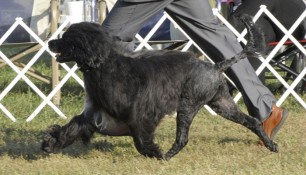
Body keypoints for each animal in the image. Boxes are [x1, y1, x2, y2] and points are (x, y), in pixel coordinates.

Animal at [41, 14, 278, 161]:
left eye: (67, 38)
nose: (50, 42)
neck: (104, 66)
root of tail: (215, 66)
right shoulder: (96, 113)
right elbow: (73, 126)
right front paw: (51, 143)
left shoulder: (141, 114)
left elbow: (140, 138)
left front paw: (152, 152)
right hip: (222, 104)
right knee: (252, 121)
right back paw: (271, 145)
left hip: (188, 104)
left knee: (182, 139)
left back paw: (165, 157)